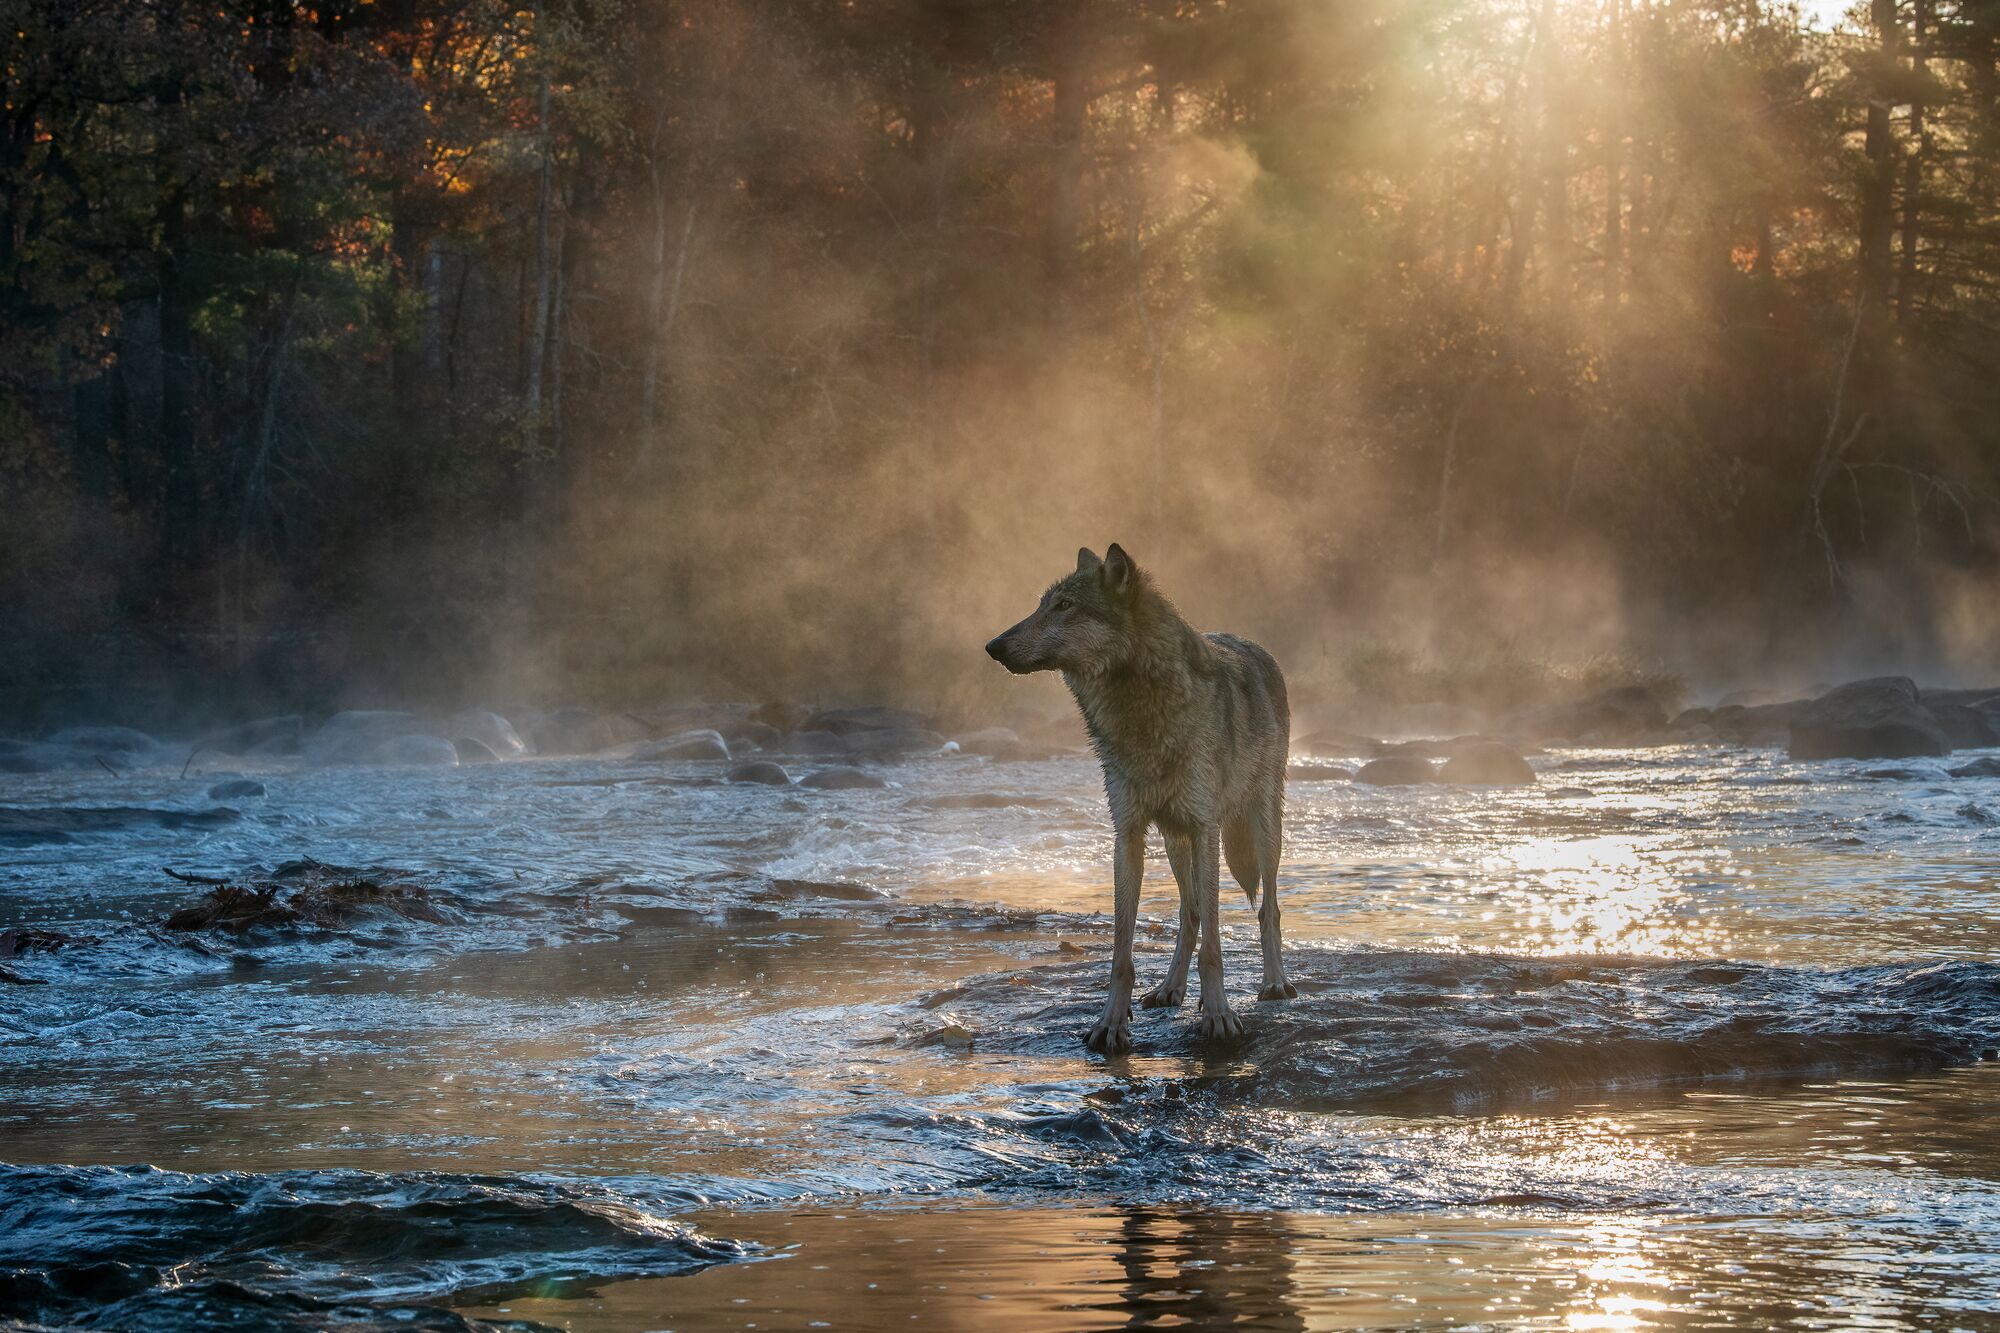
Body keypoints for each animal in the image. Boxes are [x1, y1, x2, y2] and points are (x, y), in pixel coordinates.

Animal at [985, 543, 1293, 1052]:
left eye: (1064, 606)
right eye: (1041, 605)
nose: (993, 646)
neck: (1140, 713)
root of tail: (1257, 646)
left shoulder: (1205, 828)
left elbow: (1215, 948)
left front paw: (1219, 1016)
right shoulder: (1127, 833)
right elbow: (1122, 951)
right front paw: (1111, 1023)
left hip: (1262, 830)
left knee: (1268, 907)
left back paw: (1275, 983)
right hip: (1173, 841)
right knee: (1189, 914)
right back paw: (1170, 989)